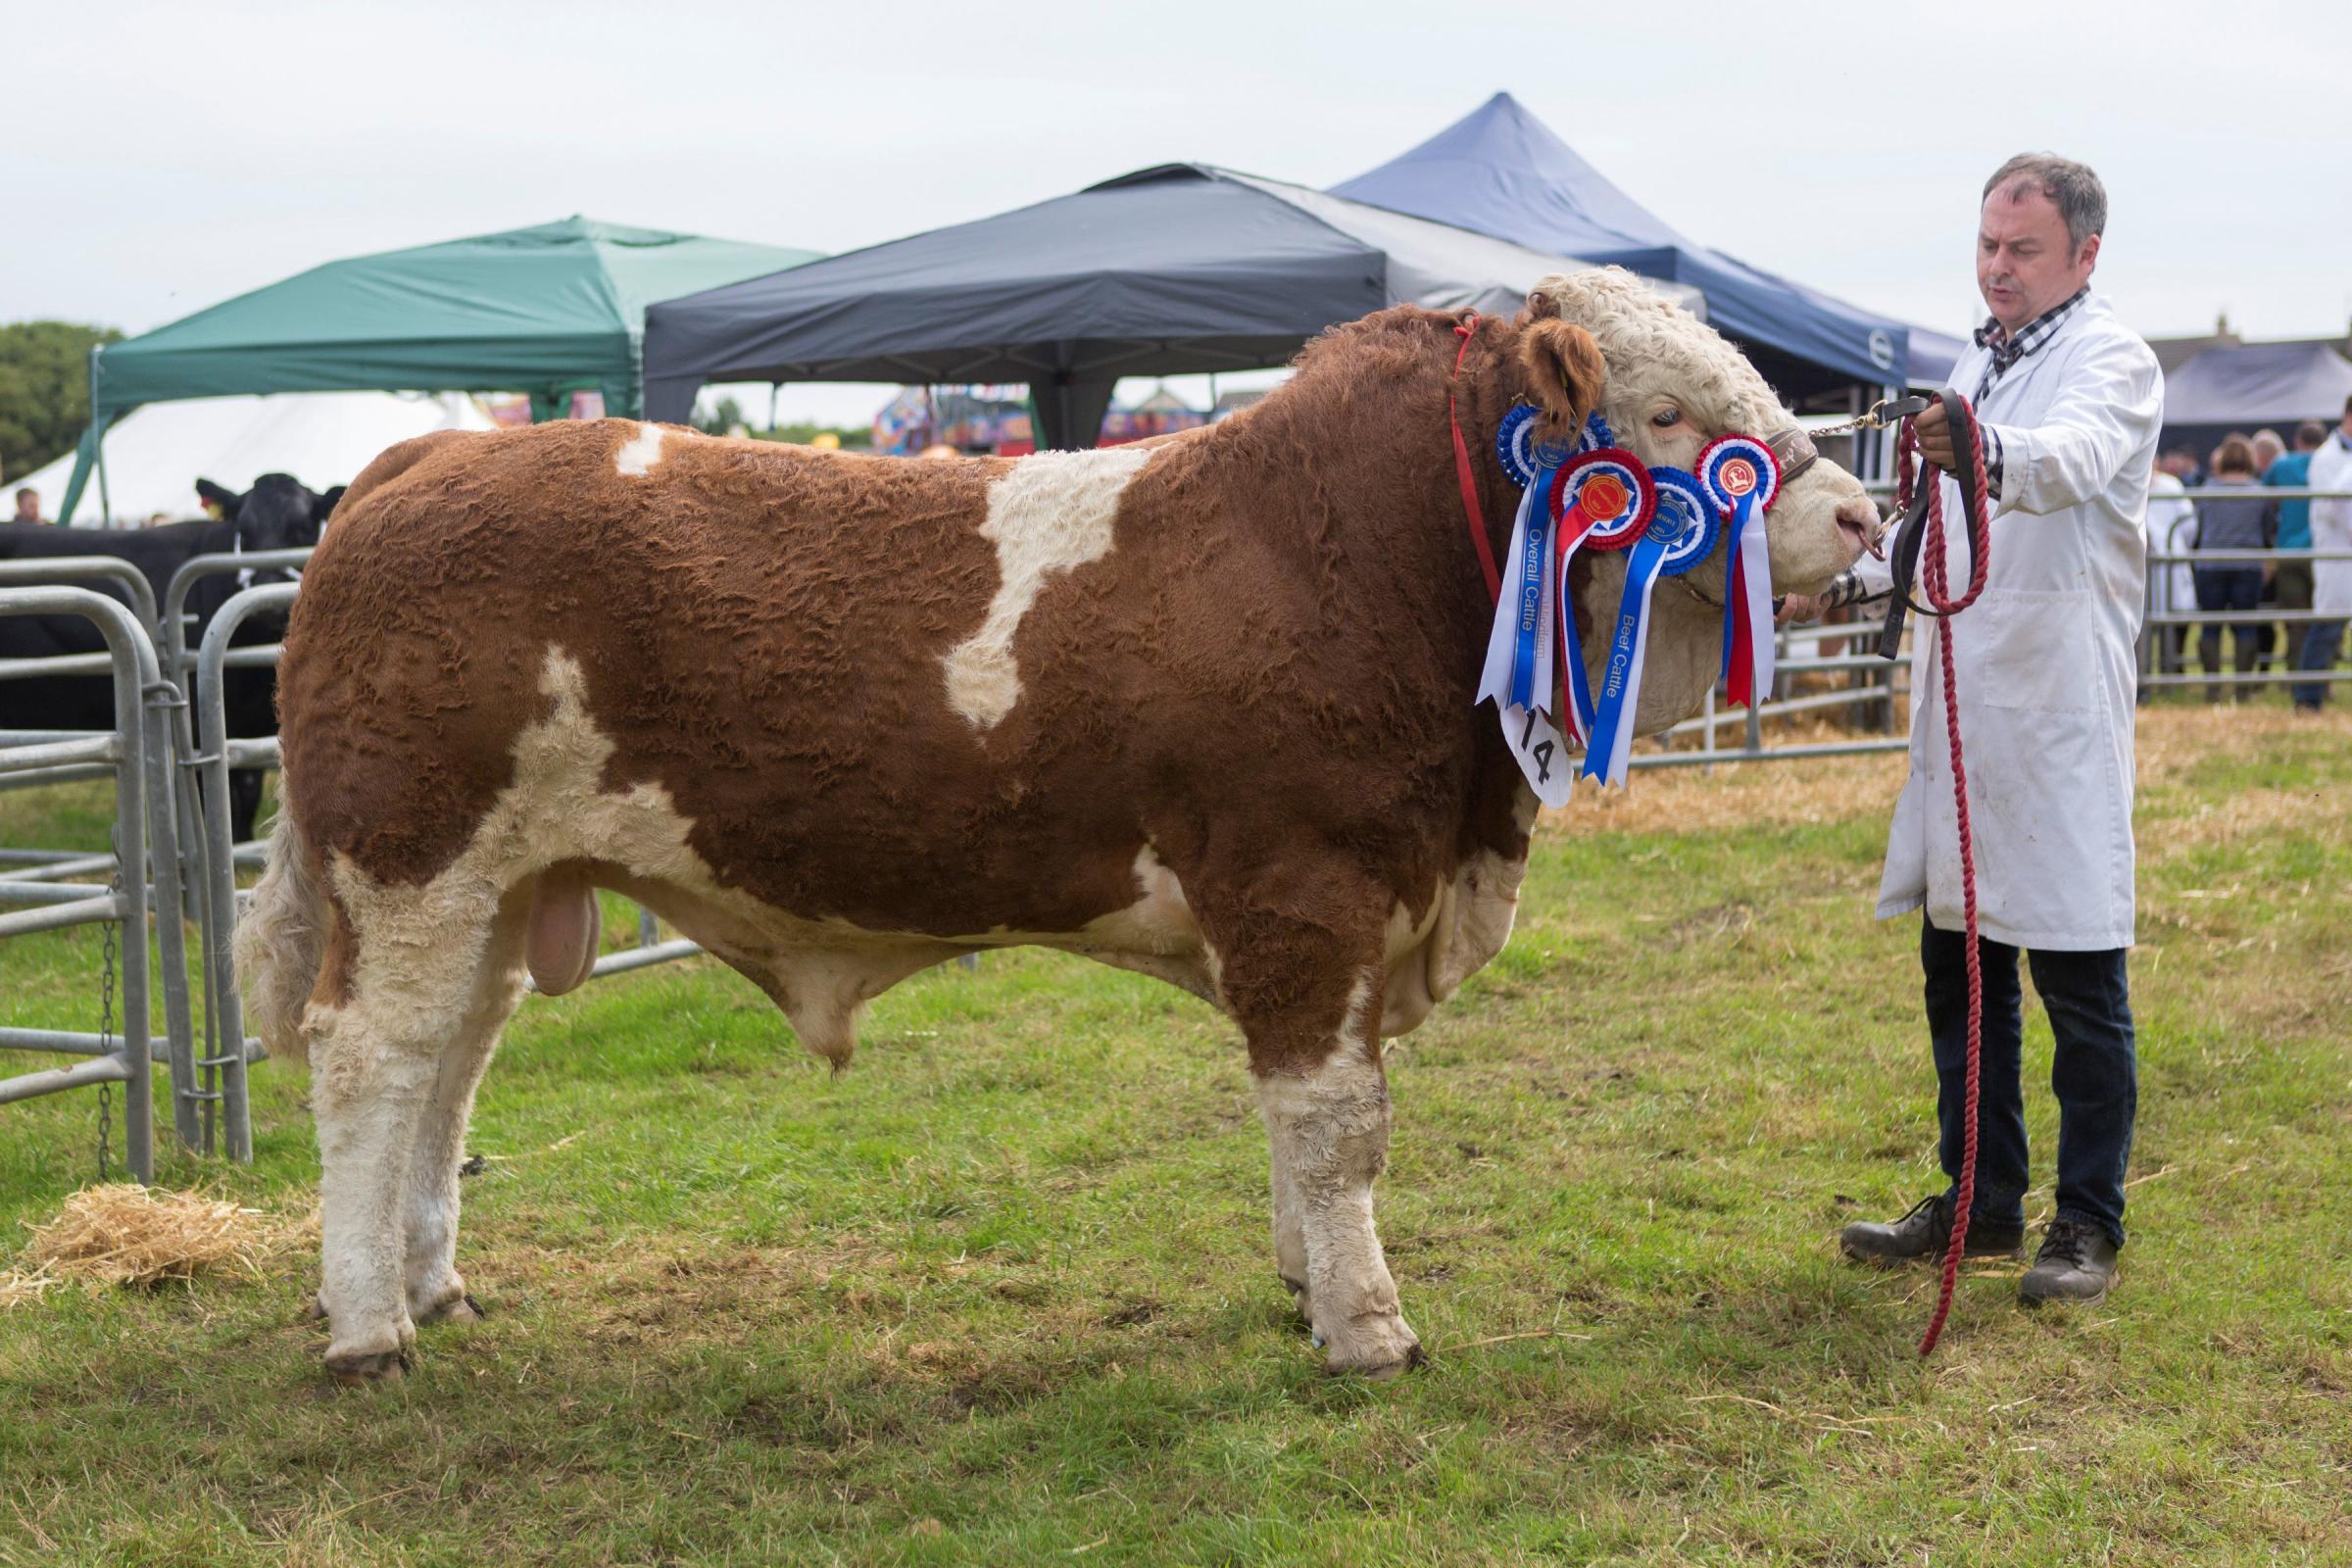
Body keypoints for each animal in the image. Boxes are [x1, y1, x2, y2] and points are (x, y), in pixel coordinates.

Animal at [0, 472, 343, 846]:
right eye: (243, 531)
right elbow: (221, 802)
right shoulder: (199, 727)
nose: (268, 602)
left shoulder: (251, 726)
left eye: (301, 529)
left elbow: (247, 802)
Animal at [233, 270, 1872, 1382]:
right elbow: (1336, 1117)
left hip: (500, 883)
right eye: (1667, 412)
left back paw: (428, 1286)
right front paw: (1365, 1326)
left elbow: (1295, 1114)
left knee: (453, 1067)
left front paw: (1303, 1282)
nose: (1860, 515)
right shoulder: (1306, 884)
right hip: (412, 858)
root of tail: (424, 461)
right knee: (373, 1065)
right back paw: (368, 1329)